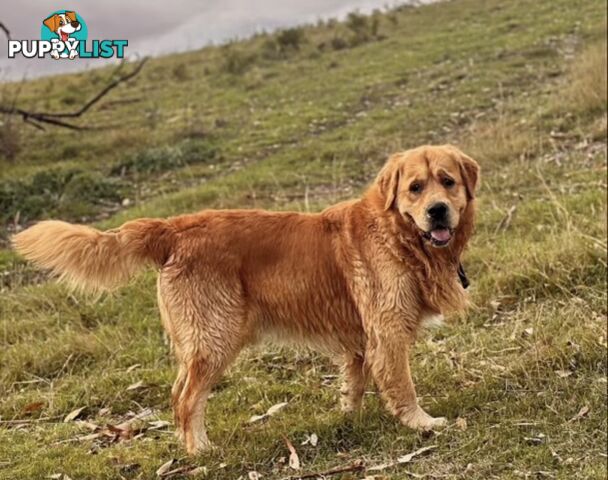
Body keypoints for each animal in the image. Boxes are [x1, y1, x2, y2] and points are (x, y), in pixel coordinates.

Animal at [11, 143, 480, 454]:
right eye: (415, 188)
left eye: (448, 182)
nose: (437, 210)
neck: (400, 235)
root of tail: (173, 228)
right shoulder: (388, 332)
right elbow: (402, 386)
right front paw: (422, 424)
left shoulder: (360, 340)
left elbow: (354, 383)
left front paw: (349, 416)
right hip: (216, 338)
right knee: (186, 399)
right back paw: (201, 451)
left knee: (177, 393)